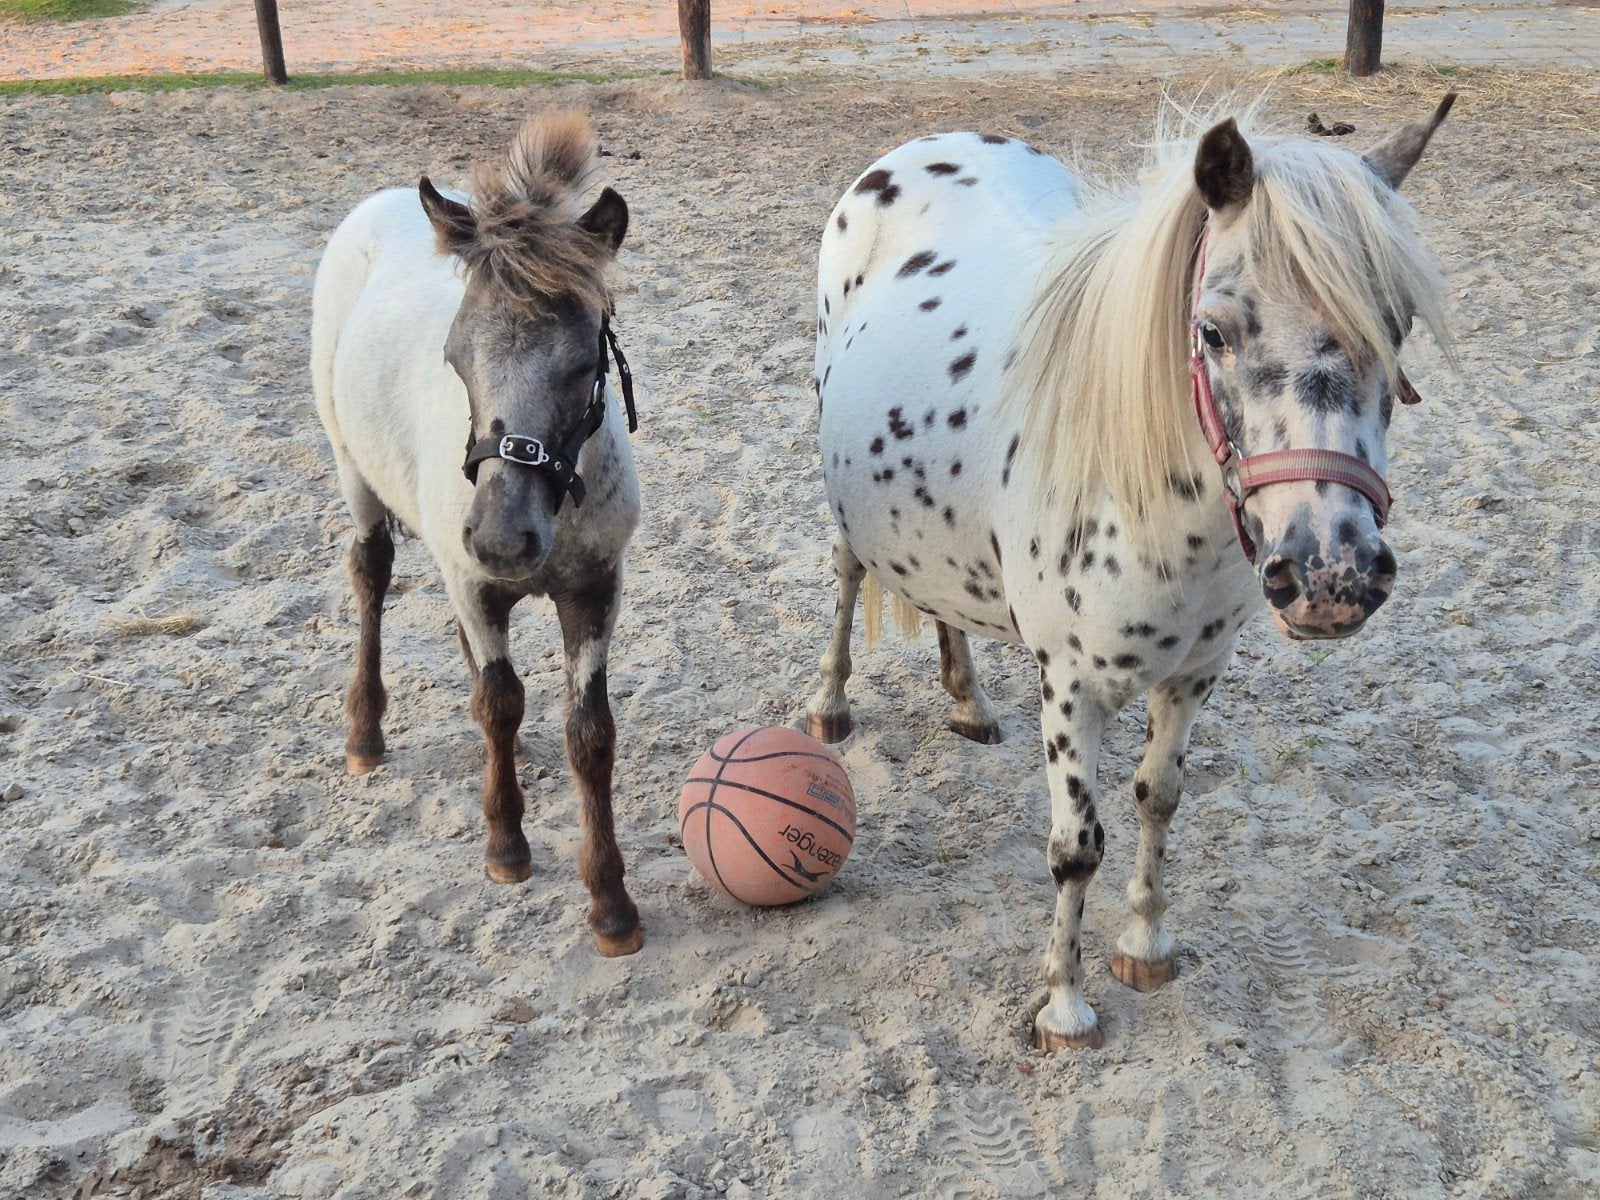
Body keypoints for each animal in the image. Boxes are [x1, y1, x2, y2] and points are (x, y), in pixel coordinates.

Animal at [311, 111, 645, 957]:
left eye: (582, 362)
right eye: (456, 355)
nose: (501, 540)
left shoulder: (595, 589)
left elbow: (589, 732)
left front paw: (612, 904)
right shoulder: (476, 582)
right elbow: (501, 702)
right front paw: (506, 847)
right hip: (352, 470)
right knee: (371, 573)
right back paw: (365, 733)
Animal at [804, 97, 1457, 1047]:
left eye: (1397, 324)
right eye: (1213, 332)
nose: (1332, 574)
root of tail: (927, 145)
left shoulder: (1193, 676)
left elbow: (1159, 797)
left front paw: (1145, 945)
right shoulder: (1072, 690)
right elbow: (1077, 848)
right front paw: (1065, 1005)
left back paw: (967, 700)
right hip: (847, 492)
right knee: (851, 572)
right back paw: (829, 704)